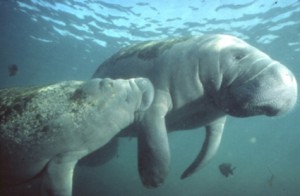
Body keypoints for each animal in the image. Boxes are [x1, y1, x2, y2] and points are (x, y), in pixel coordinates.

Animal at [93, 34, 298, 188]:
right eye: (238, 57)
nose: (289, 77)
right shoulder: (154, 99)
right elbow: (157, 144)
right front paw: (154, 180)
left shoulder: (217, 118)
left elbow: (210, 149)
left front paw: (186, 174)